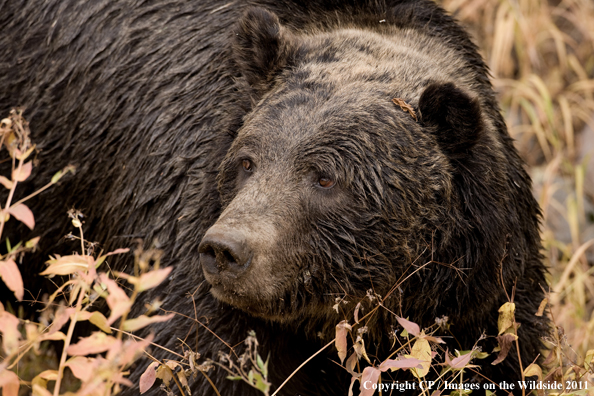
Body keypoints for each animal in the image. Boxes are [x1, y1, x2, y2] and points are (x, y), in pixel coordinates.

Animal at [0, 0, 544, 396]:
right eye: (247, 161)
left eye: (324, 177)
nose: (225, 250)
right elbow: (187, 362)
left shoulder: (484, 294)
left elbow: (501, 360)